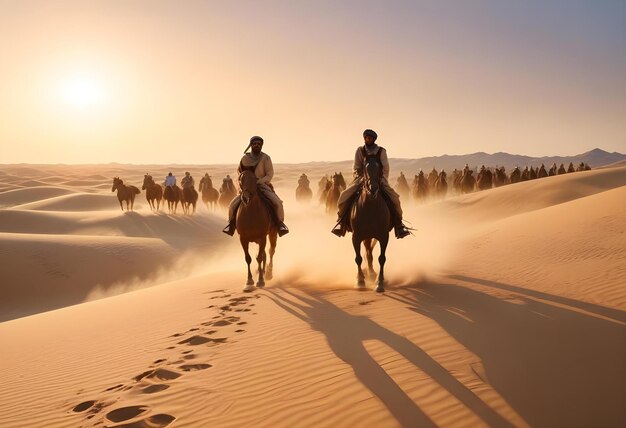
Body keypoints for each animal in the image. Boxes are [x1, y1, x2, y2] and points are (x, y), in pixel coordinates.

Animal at [346, 155, 390, 292]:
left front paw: (379, 283)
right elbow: (358, 258)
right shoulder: (356, 237)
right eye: (365, 168)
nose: (373, 189)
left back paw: (372, 273)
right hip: (366, 236)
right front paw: (360, 281)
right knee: (367, 251)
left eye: (379, 167)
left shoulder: (384, 236)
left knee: (369, 252)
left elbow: (382, 258)